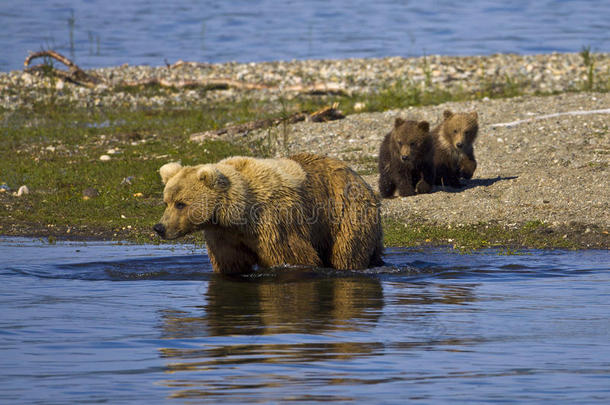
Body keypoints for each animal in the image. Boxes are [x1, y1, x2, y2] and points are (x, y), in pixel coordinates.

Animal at [152, 153, 380, 274]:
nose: (159, 227)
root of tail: (360, 177)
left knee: (346, 251)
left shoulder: (275, 222)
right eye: (166, 202)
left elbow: (295, 256)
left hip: (344, 212)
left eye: (181, 204)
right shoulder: (224, 235)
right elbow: (230, 264)